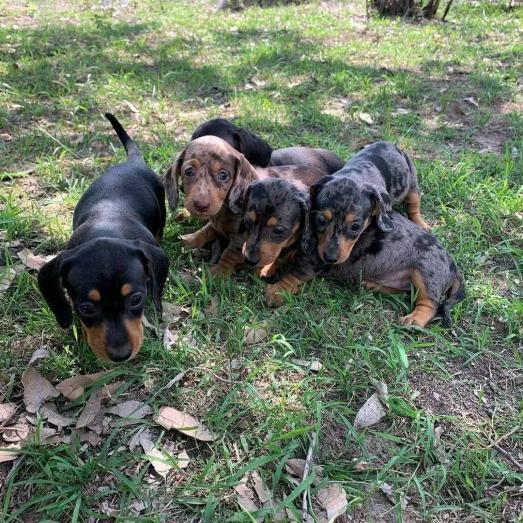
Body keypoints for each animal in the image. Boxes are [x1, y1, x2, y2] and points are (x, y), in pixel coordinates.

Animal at [164, 136, 324, 278]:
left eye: (223, 175)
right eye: (188, 171)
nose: (201, 205)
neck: (224, 209)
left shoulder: (240, 239)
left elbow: (229, 255)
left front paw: (216, 273)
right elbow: (207, 230)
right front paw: (189, 239)